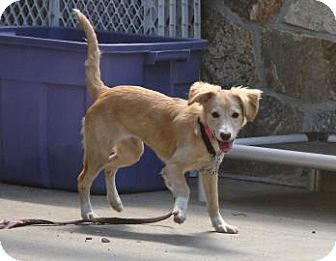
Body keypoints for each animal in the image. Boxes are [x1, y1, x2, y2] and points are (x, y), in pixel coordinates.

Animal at [73, 9, 262, 234]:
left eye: (235, 115)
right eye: (215, 114)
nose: (225, 135)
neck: (202, 133)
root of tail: (105, 91)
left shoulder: (209, 172)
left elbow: (214, 202)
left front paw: (220, 224)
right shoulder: (173, 167)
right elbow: (185, 189)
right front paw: (180, 212)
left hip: (132, 151)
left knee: (110, 166)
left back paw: (115, 202)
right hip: (99, 150)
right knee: (83, 179)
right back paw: (87, 213)